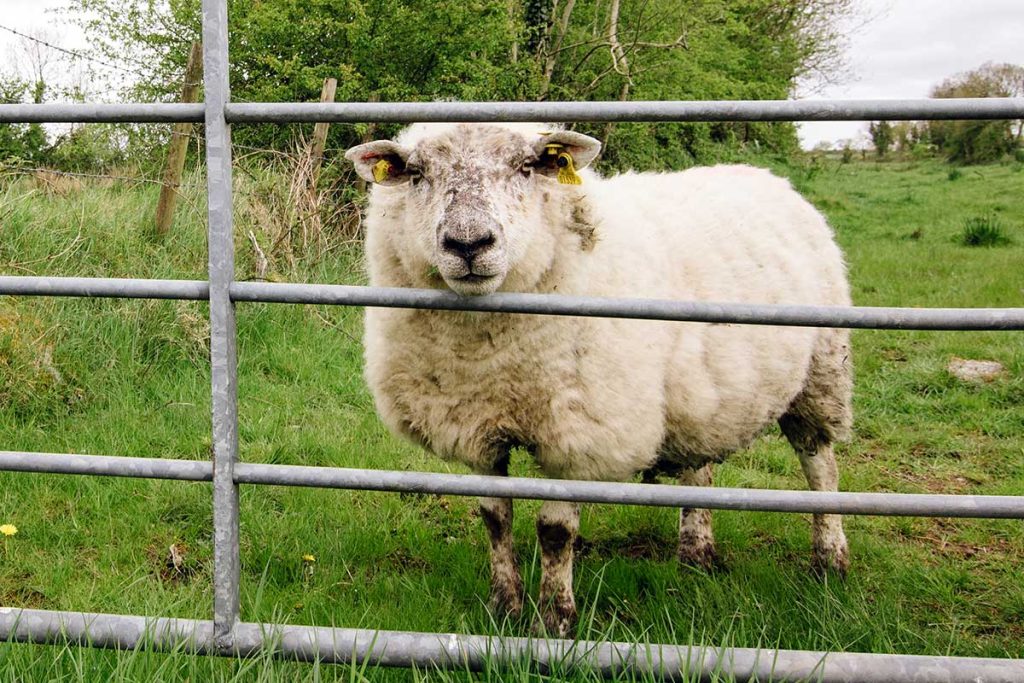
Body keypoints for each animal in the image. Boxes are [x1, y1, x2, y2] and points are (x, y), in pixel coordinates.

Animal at [348, 121, 851, 634]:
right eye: (416, 174)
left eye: (526, 167)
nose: (468, 244)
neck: (495, 362)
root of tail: (769, 178)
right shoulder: (475, 424)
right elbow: (495, 517)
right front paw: (504, 607)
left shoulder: (579, 432)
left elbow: (554, 531)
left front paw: (554, 621)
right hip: (698, 397)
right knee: (699, 466)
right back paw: (696, 556)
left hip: (821, 374)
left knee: (821, 467)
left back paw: (830, 560)